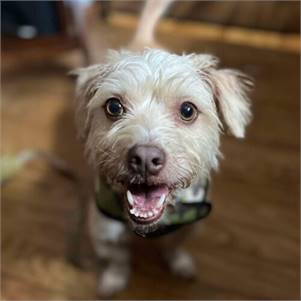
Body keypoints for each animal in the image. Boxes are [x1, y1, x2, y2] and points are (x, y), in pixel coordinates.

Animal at [71, 0, 252, 296]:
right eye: (113, 106)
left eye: (188, 110)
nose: (144, 158)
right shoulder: (103, 230)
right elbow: (118, 259)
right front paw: (114, 280)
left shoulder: (190, 223)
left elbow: (175, 245)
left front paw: (179, 263)